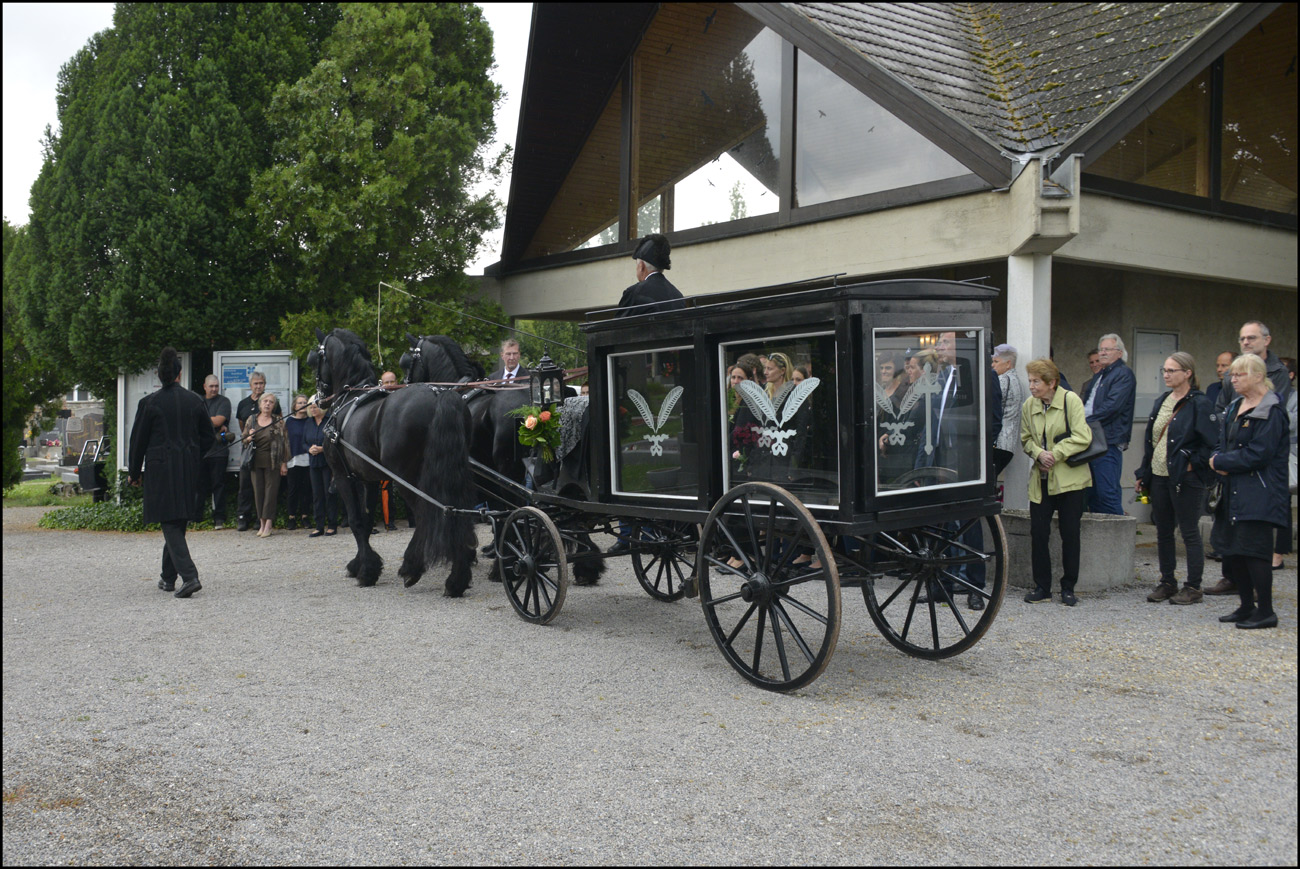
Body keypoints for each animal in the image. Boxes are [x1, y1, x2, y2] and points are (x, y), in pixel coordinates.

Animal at [308, 329, 478, 593]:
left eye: (316, 358)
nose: (319, 398)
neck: (350, 397)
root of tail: (440, 394)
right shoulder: (369, 479)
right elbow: (367, 520)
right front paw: (360, 564)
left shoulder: (343, 476)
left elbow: (356, 521)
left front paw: (366, 571)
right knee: (456, 512)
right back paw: (457, 578)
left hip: (406, 478)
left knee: (425, 514)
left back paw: (412, 567)